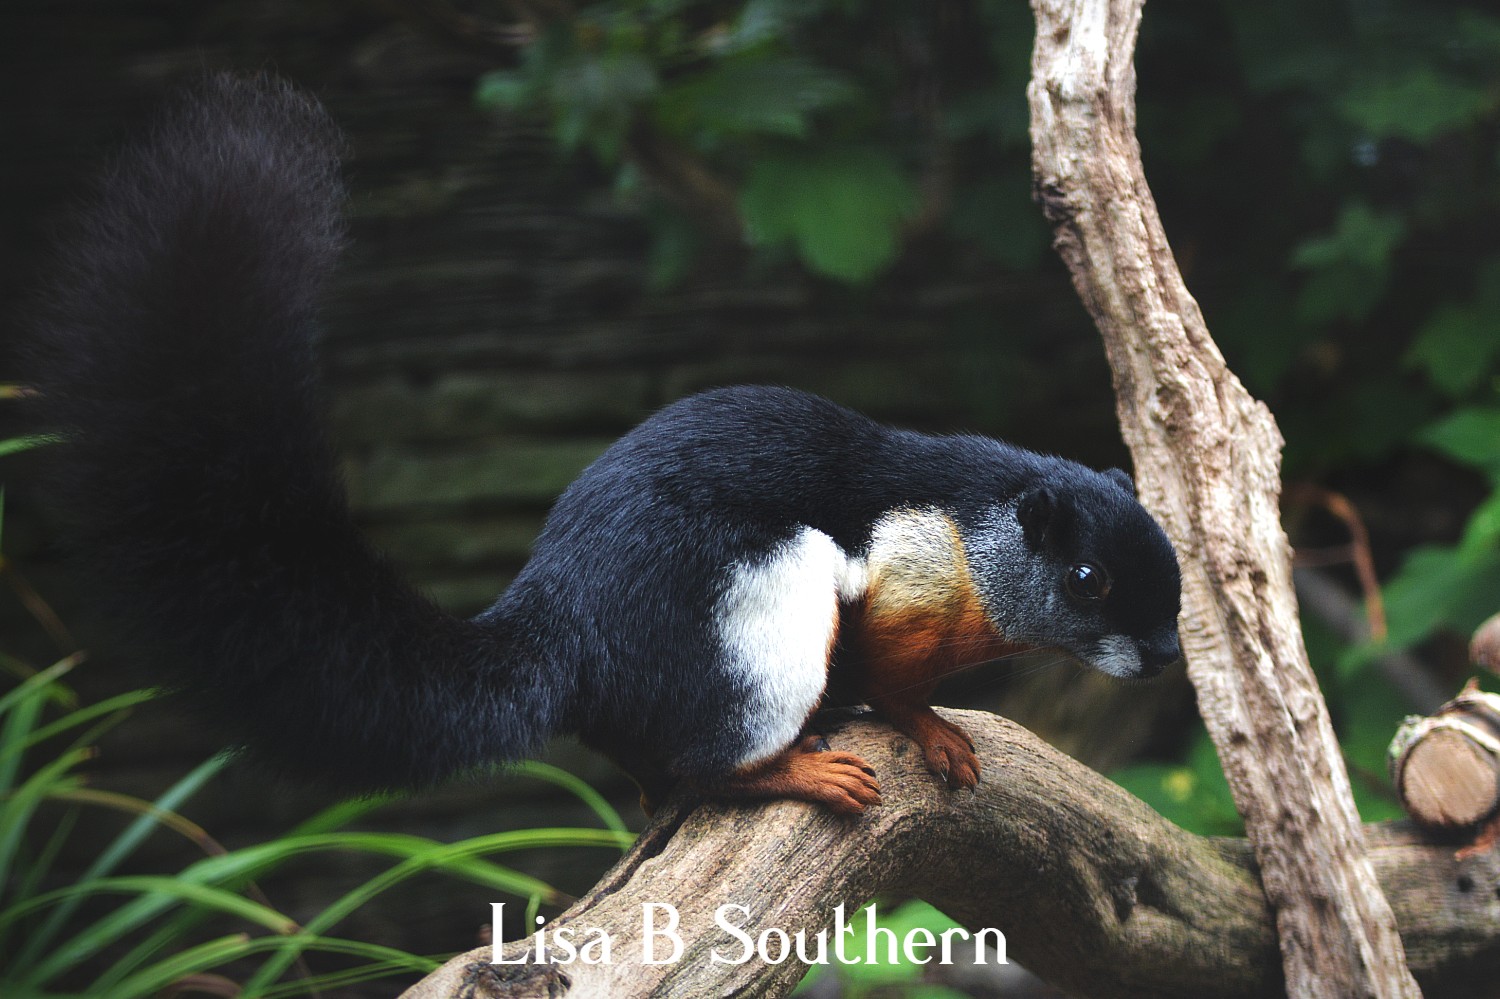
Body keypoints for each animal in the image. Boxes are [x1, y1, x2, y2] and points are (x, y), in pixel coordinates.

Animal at [18, 75, 1183, 815]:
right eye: (1085, 580)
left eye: (1171, 577)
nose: (1168, 660)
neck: (974, 537)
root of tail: (567, 633)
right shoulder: (898, 580)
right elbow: (893, 679)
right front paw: (933, 730)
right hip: (758, 612)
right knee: (704, 762)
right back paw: (796, 771)